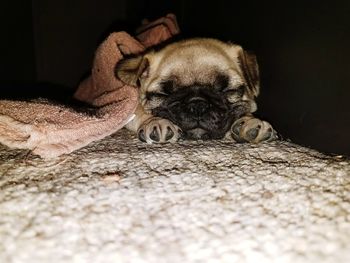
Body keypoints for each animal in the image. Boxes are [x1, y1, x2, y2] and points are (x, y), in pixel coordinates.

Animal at [116, 37, 278, 144]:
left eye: (228, 90)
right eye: (163, 94)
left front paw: (248, 121)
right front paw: (155, 122)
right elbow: (140, 110)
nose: (197, 105)